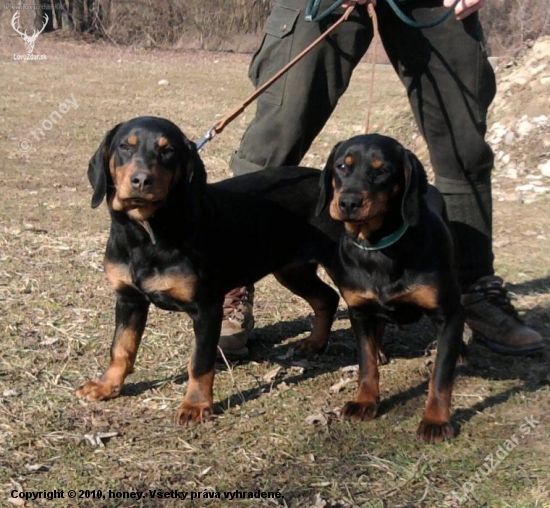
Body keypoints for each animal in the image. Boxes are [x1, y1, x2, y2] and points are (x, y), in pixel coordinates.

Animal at [314, 134, 466, 440]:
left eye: (382, 170)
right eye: (342, 166)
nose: (348, 202)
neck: (378, 247)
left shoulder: (448, 314)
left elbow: (441, 376)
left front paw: (436, 420)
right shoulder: (359, 311)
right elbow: (366, 363)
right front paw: (364, 401)